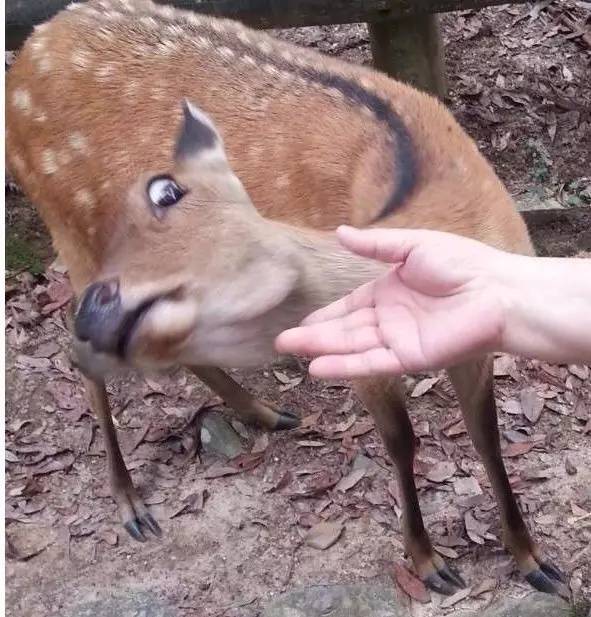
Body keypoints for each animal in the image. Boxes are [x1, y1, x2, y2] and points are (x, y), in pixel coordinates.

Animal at [4, 0, 568, 600]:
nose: (101, 311)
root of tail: (30, 51)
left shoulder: (475, 343)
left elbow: (487, 438)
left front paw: (534, 560)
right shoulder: (358, 349)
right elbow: (402, 441)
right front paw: (427, 562)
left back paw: (264, 412)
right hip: (67, 226)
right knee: (77, 353)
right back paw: (131, 501)